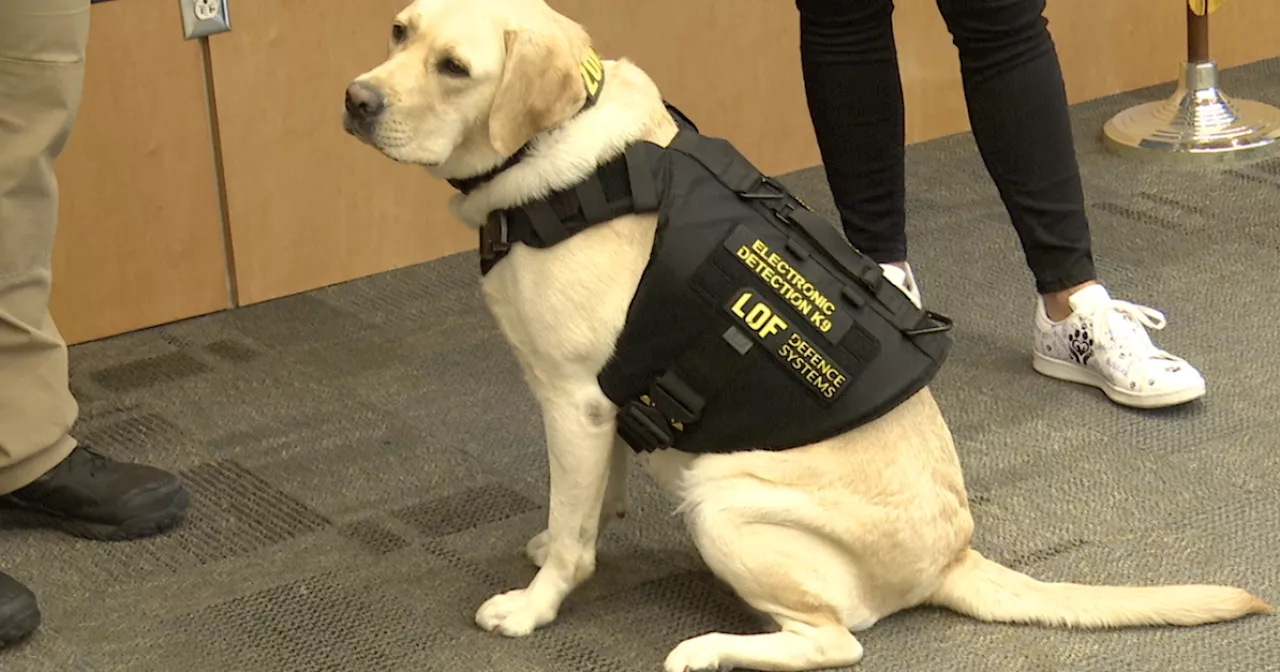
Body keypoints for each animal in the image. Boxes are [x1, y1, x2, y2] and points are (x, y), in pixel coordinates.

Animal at [340, 1, 1269, 670]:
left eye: (456, 68)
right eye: (398, 30)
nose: (355, 99)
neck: (563, 154)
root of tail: (956, 558)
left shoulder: (573, 399)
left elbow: (574, 540)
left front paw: (535, 603)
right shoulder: (598, 406)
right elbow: (591, 499)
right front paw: (568, 530)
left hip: (721, 500)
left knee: (835, 641)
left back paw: (708, 651)